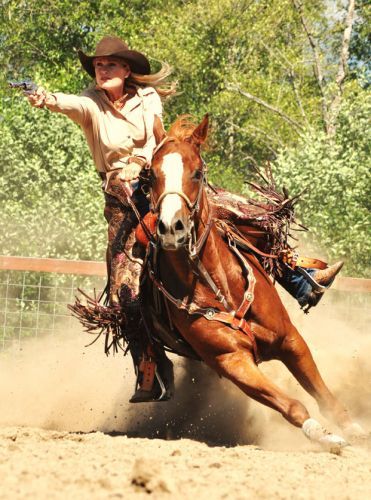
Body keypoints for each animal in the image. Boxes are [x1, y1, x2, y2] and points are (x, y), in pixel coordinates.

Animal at [140, 115, 366, 452]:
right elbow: (292, 405)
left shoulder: (290, 340)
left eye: (197, 172)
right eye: (151, 175)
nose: (171, 228)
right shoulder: (233, 363)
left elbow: (323, 394)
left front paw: (353, 429)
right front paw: (325, 436)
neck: (220, 287)